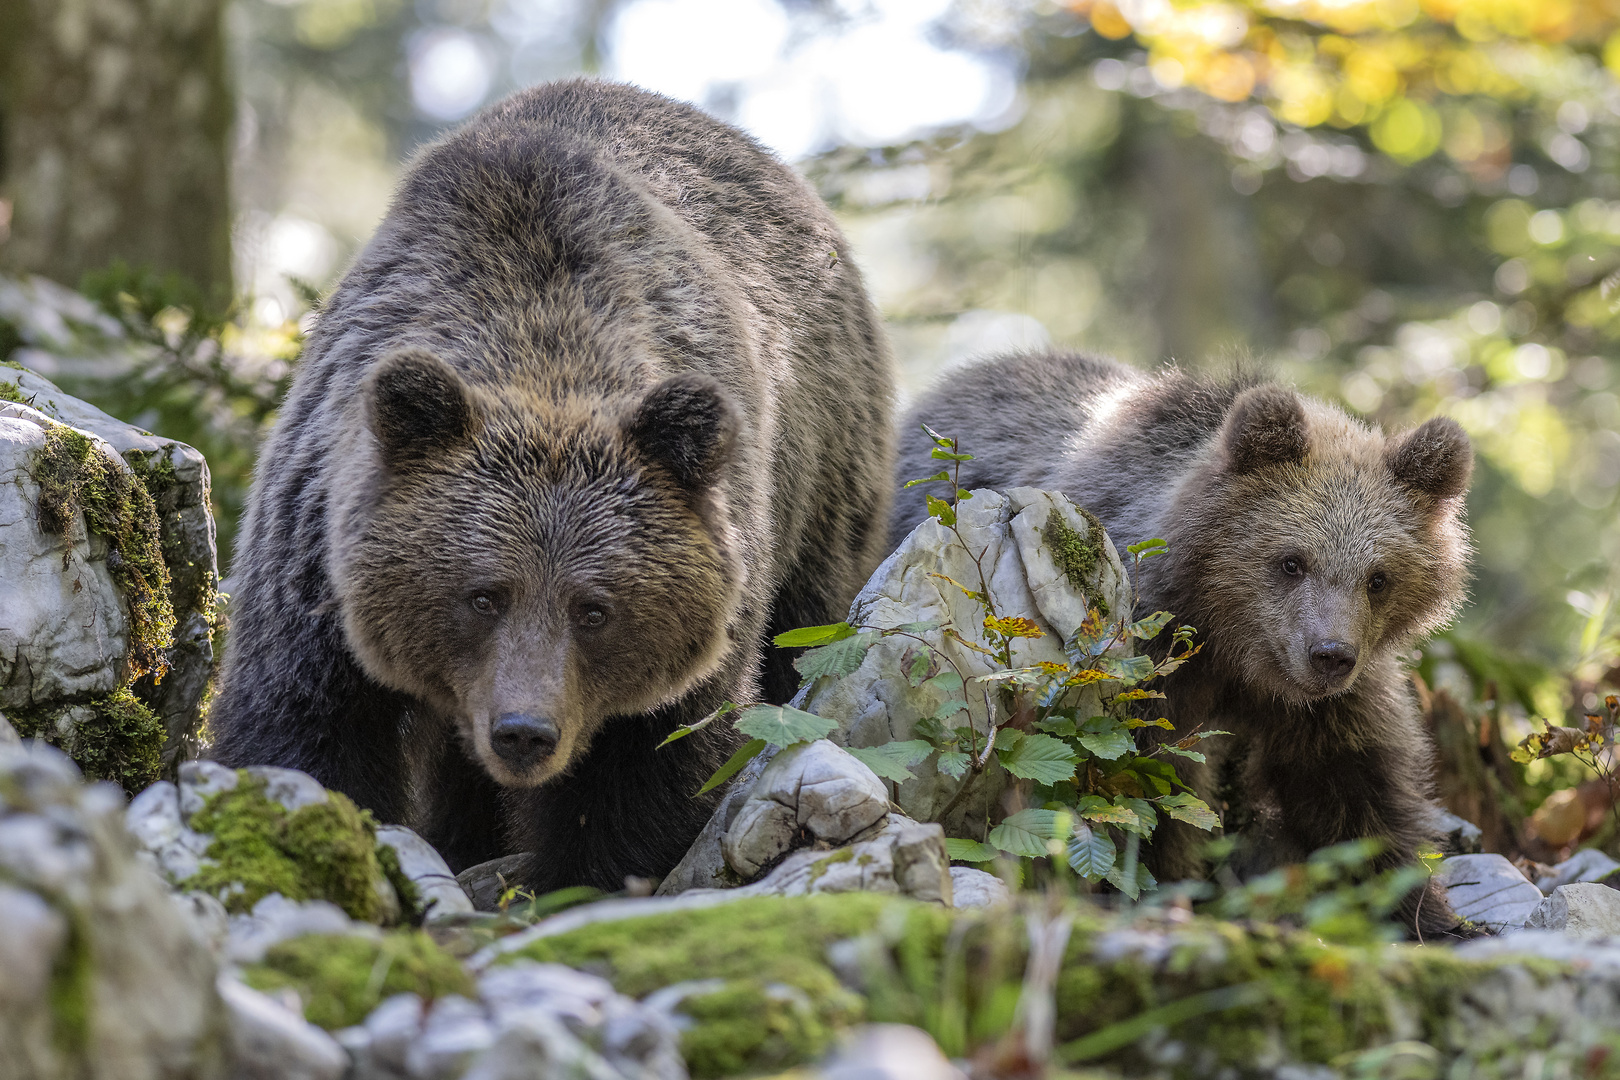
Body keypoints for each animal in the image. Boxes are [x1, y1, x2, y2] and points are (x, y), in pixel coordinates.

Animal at [207, 80, 894, 893]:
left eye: (595, 608)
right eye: (482, 595)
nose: (525, 732)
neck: (542, 343)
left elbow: (652, 761)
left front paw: (580, 873)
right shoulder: (315, 554)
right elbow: (306, 725)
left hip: (823, 477)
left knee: (804, 639)